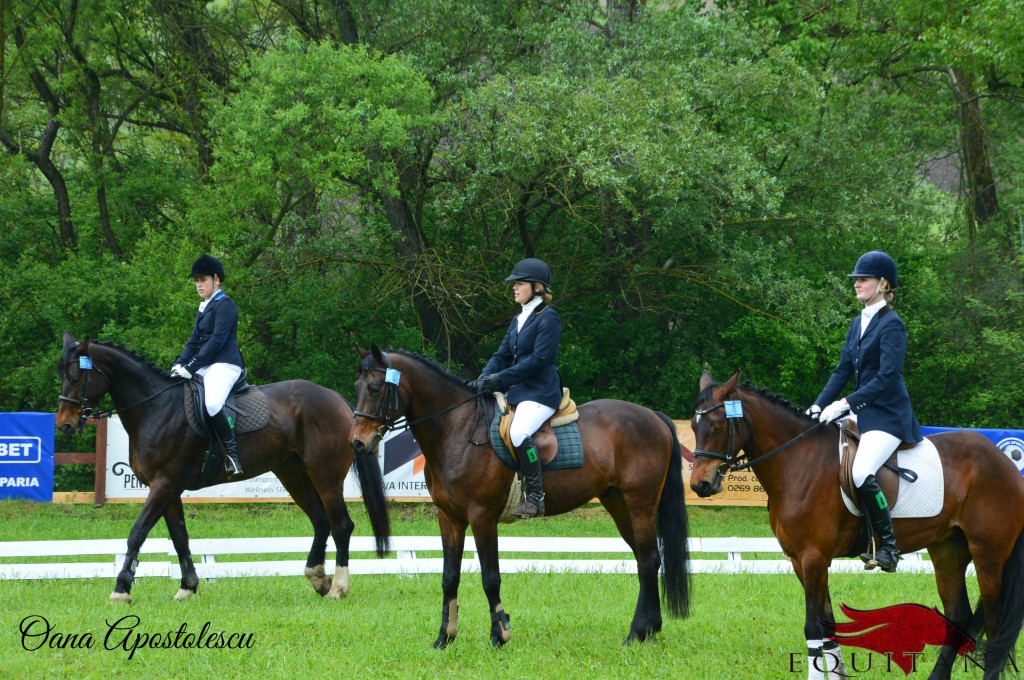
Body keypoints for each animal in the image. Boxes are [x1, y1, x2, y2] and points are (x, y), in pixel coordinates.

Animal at [56, 331, 391, 602]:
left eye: (76, 378)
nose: (65, 424)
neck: (156, 407)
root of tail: (336, 398)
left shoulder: (164, 484)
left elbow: (137, 533)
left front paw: (121, 590)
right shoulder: (168, 488)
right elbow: (179, 537)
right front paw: (188, 587)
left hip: (326, 476)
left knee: (341, 524)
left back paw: (338, 588)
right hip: (292, 473)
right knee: (321, 521)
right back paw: (318, 579)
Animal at [348, 348, 692, 647]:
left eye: (376, 388)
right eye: (357, 387)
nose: (356, 443)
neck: (457, 429)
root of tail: (654, 416)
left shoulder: (482, 516)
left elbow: (490, 577)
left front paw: (499, 636)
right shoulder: (450, 517)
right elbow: (449, 577)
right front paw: (444, 638)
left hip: (640, 503)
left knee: (648, 560)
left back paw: (636, 634)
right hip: (618, 503)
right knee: (648, 560)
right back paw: (649, 630)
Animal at [688, 372, 1024, 680]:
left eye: (717, 426)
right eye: (693, 425)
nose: (700, 485)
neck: (797, 461)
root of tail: (1004, 461)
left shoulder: (814, 557)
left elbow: (813, 627)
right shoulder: (799, 560)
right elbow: (827, 626)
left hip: (988, 555)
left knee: (995, 627)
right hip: (947, 550)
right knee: (959, 617)